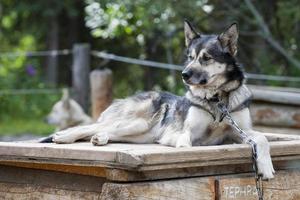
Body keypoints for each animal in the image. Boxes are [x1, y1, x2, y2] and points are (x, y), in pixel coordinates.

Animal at [41, 21, 276, 179]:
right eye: (190, 57)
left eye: (206, 58)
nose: (184, 74)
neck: (217, 99)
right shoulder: (184, 133)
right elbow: (186, 147)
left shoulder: (238, 132)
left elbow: (262, 139)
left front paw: (266, 168)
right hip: (137, 122)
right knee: (89, 126)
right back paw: (64, 136)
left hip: (139, 133)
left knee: (103, 131)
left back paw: (99, 138)